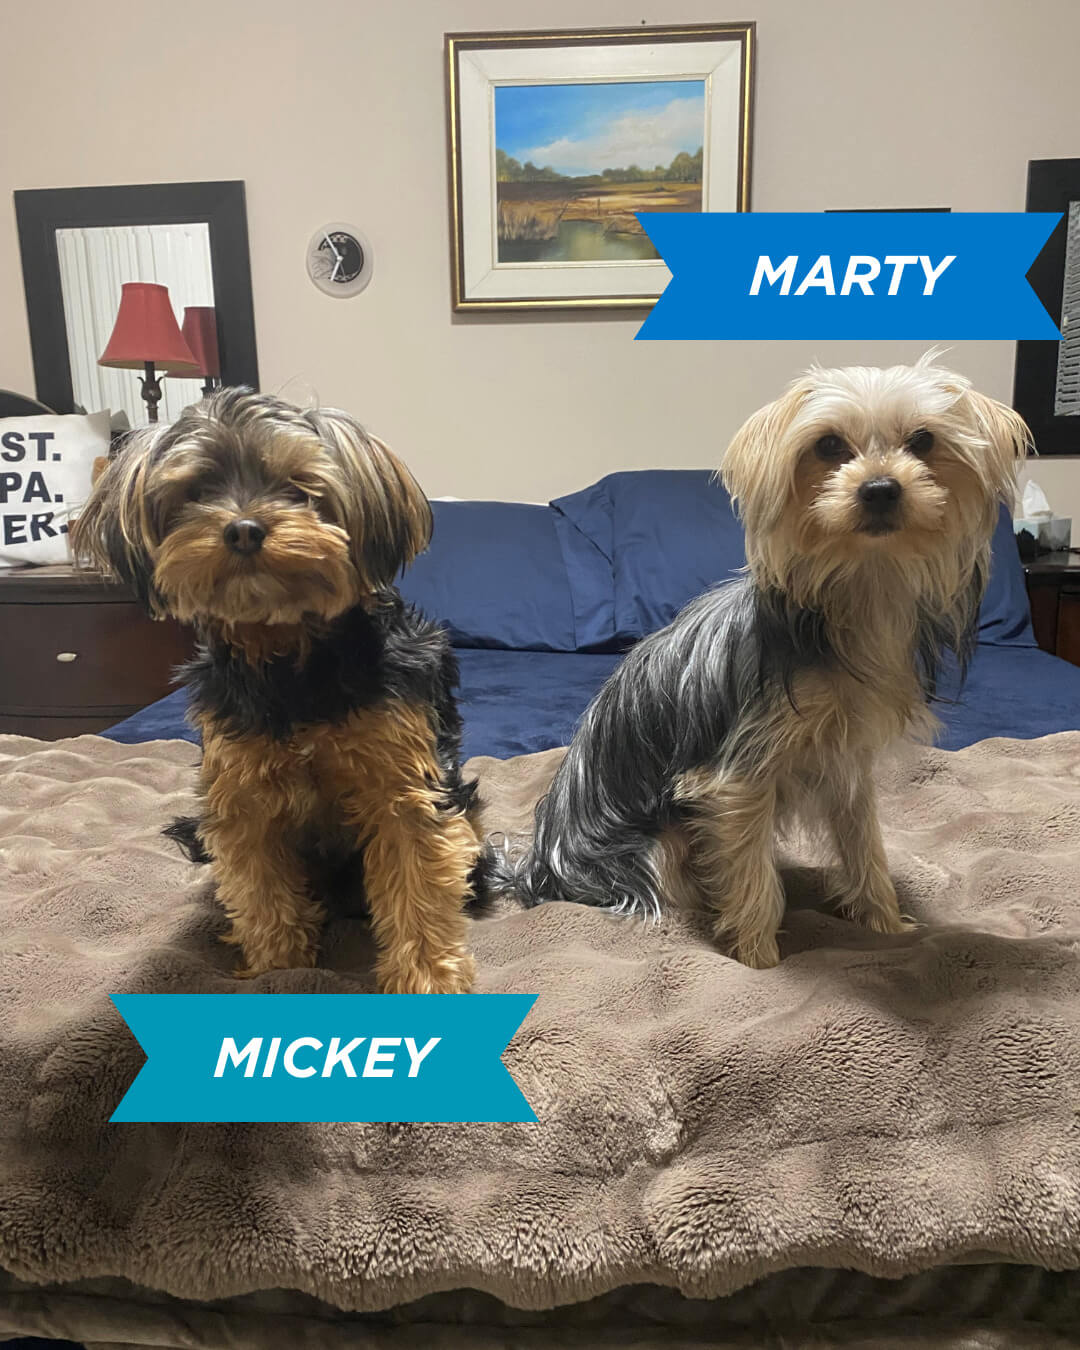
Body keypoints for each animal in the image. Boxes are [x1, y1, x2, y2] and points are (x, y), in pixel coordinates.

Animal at [71, 388, 480, 993]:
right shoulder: (242, 792)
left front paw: (429, 980)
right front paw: (279, 970)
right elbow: (261, 890)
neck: (287, 652)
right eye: (197, 491)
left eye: (297, 487)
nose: (242, 528)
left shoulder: (403, 785)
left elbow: (417, 889)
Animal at [502, 357, 1029, 967]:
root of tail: (537, 867)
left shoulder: (847, 763)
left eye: (923, 441)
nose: (879, 489)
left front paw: (887, 926)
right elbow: (752, 872)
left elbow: (865, 844)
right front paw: (757, 957)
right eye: (827, 445)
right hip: (651, 847)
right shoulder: (738, 777)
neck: (858, 594)